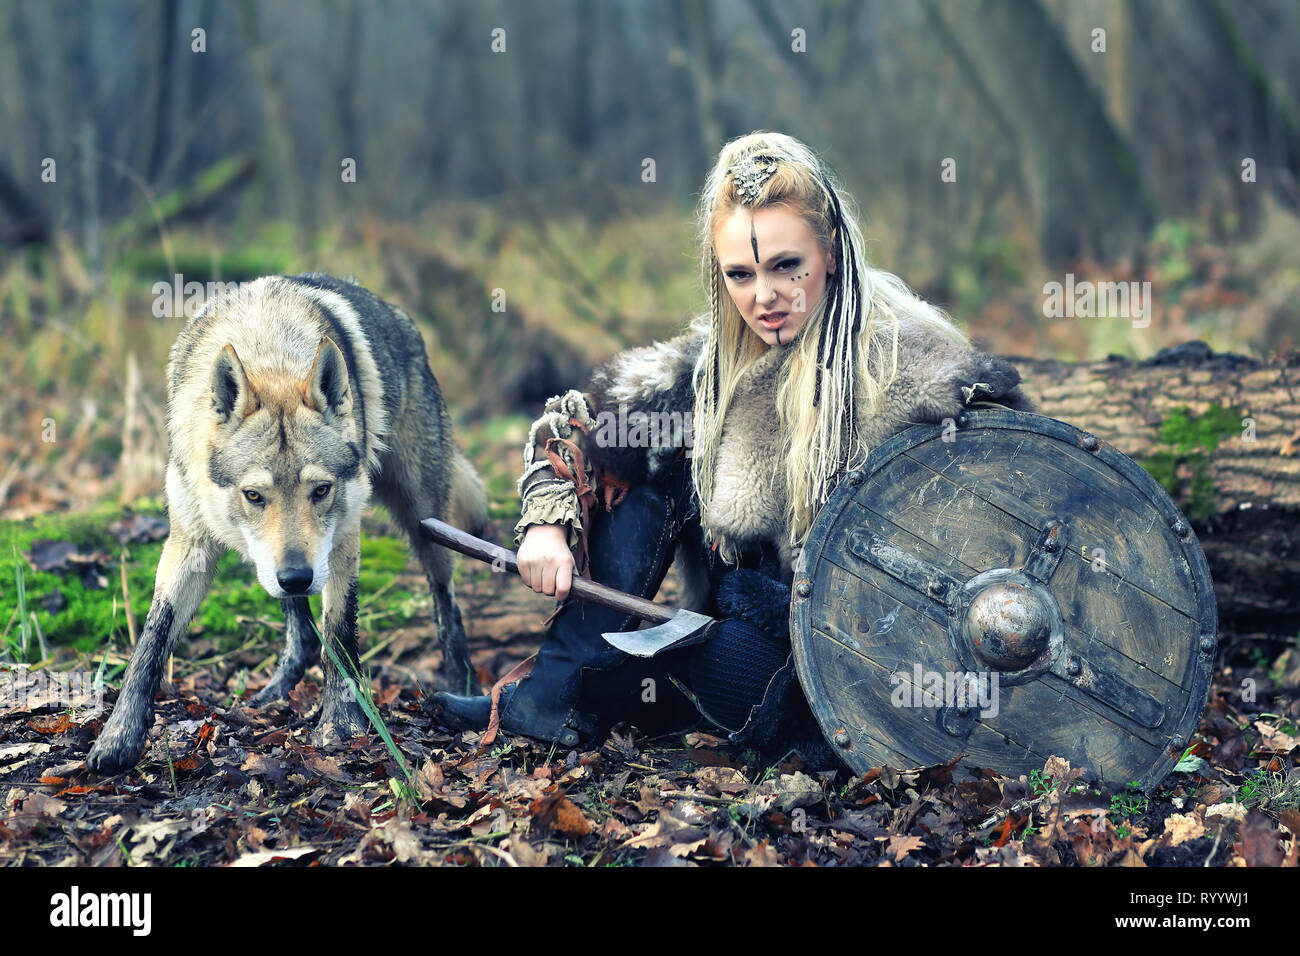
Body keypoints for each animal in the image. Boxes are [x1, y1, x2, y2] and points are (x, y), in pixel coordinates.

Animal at [86, 273, 488, 775]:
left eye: (321, 491)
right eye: (254, 496)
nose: (297, 575)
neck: (268, 350)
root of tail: (401, 318)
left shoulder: (342, 540)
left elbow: (340, 633)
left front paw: (342, 724)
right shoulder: (190, 545)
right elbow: (150, 641)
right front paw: (118, 736)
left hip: (421, 522)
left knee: (447, 604)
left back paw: (465, 688)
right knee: (300, 630)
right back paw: (275, 692)